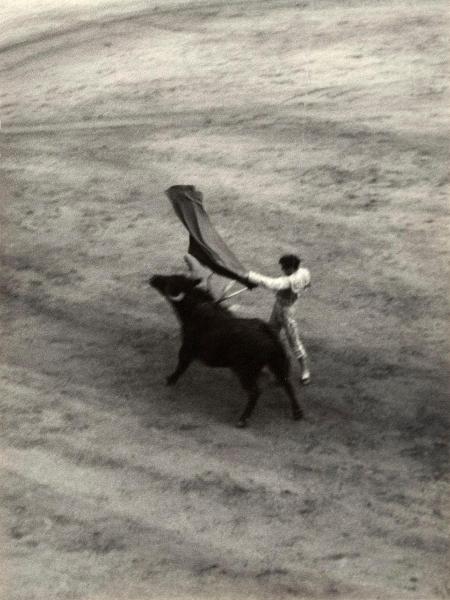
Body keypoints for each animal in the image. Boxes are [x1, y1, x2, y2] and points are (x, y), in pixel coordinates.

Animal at [149, 274, 304, 426]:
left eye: (171, 281)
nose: (154, 277)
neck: (195, 309)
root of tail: (266, 331)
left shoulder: (187, 348)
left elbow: (181, 365)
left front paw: (170, 380)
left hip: (245, 371)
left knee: (256, 392)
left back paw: (242, 419)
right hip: (275, 363)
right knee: (286, 383)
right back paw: (297, 413)